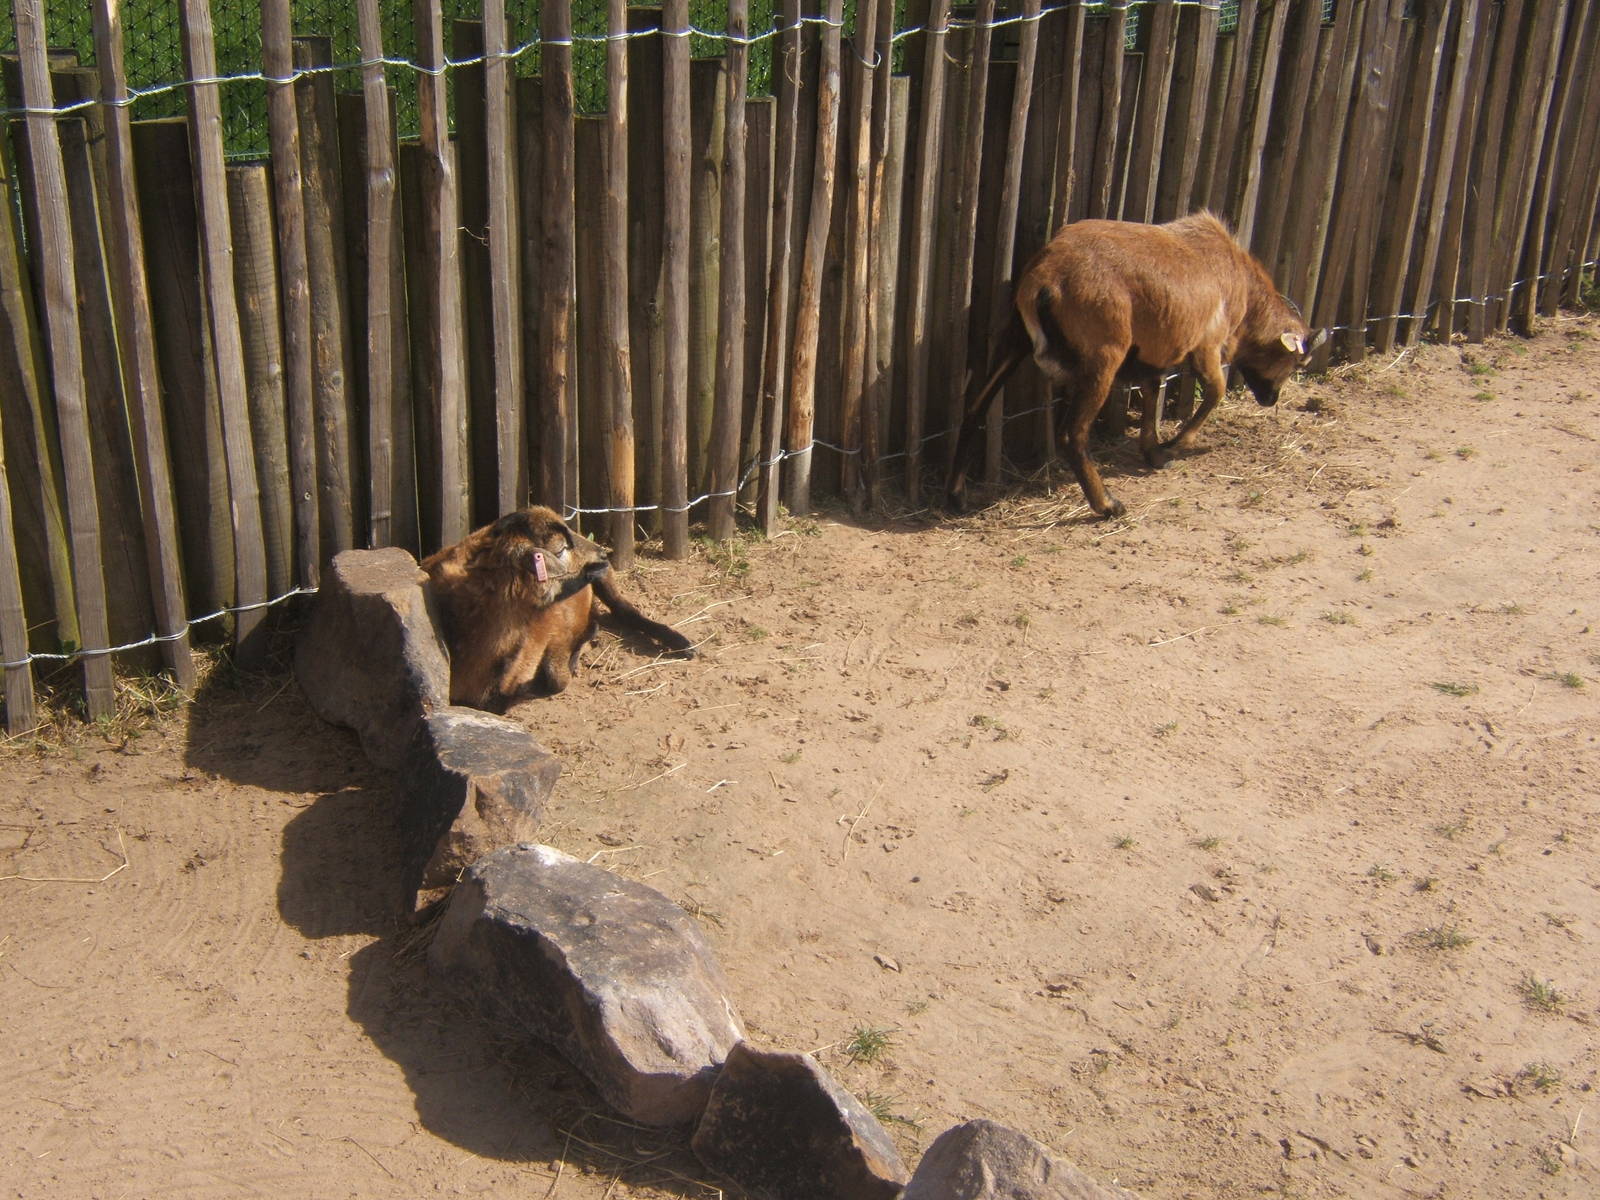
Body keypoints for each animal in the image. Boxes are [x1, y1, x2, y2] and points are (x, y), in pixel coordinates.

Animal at [945, 211, 1325, 518]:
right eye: (1296, 362)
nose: (1271, 399)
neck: (1241, 285)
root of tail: (1046, 278)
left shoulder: (1154, 352)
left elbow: (1152, 391)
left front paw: (1154, 452)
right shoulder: (1207, 345)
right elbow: (1214, 392)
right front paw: (1175, 445)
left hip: (1014, 339)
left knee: (976, 408)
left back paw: (957, 497)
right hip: (1103, 356)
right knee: (1072, 433)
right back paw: (1107, 505)